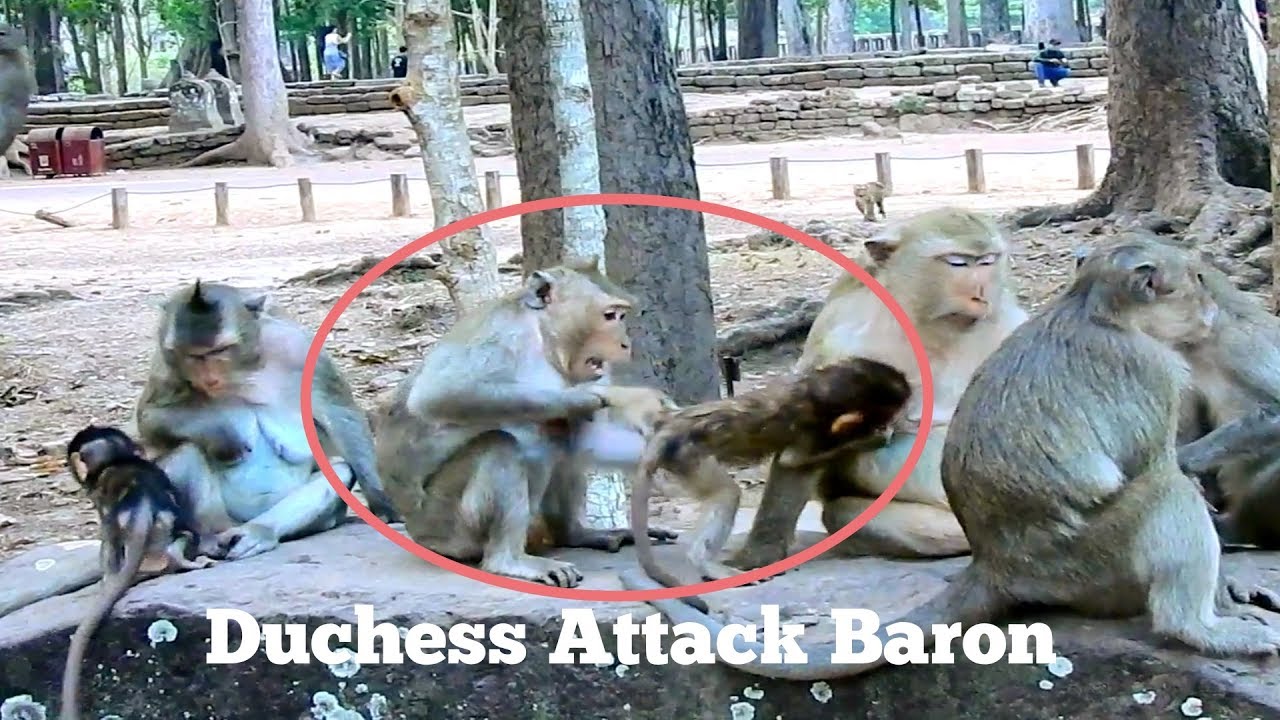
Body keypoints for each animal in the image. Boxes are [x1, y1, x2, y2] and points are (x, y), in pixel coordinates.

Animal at [60, 424, 217, 720]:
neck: (117, 459)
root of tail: (141, 506)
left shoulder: (101, 500)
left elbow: (107, 544)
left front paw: (105, 581)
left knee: (111, 540)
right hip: (170, 526)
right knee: (183, 537)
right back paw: (189, 561)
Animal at [373, 257, 693, 588]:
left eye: (621, 315)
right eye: (609, 315)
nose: (625, 344)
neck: (544, 341)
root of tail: (418, 532)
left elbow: (590, 440)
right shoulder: (502, 333)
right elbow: (438, 394)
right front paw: (604, 396)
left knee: (561, 434)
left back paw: (574, 534)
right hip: (445, 522)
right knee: (506, 443)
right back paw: (508, 560)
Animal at [626, 357, 912, 612]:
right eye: (888, 415)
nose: (896, 422)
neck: (813, 392)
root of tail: (671, 425)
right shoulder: (814, 433)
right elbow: (793, 459)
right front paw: (872, 438)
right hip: (686, 455)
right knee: (727, 493)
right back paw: (704, 562)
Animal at [726, 207, 1028, 573]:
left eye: (987, 261)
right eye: (957, 263)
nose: (981, 291)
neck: (932, 324)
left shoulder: (1012, 327)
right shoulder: (838, 338)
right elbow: (807, 439)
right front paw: (761, 553)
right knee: (842, 513)